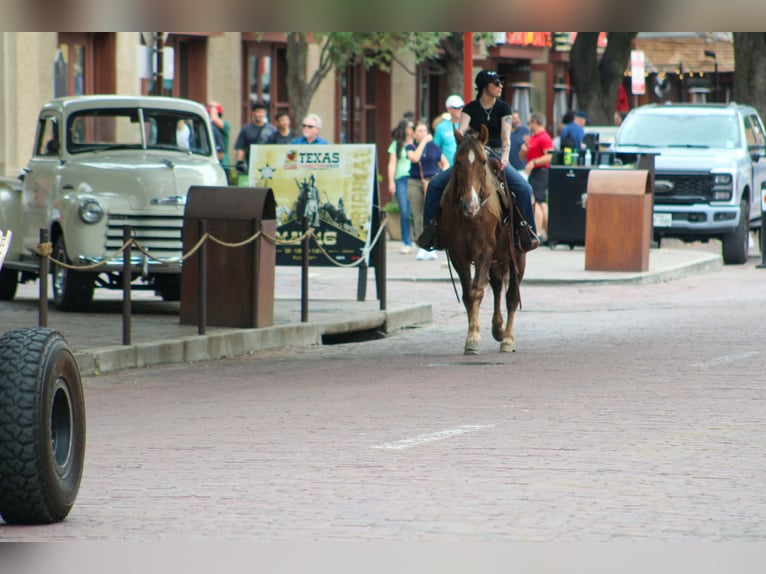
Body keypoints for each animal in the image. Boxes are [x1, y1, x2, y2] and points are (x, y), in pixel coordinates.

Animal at [437, 125, 526, 354]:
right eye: (457, 161)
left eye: (483, 162)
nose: (471, 205)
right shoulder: (458, 255)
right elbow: (469, 293)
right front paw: (472, 336)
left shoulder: (483, 252)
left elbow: (477, 290)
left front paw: (474, 337)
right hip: (498, 258)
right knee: (497, 285)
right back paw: (498, 328)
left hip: (517, 255)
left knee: (512, 296)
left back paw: (508, 339)